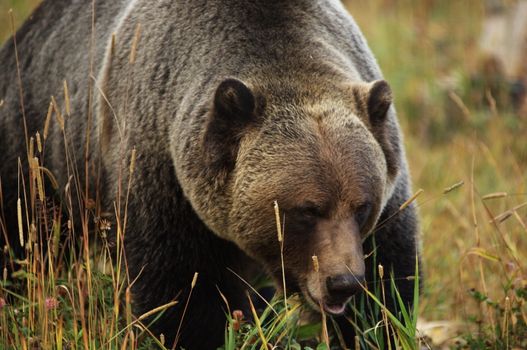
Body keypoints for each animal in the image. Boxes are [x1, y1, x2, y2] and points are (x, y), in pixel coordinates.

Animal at [1, 0, 420, 348]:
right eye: (306, 210)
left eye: (362, 206)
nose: (344, 283)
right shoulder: (163, 176)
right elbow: (182, 293)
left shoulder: (387, 193)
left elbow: (390, 279)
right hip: (36, 147)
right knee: (19, 237)